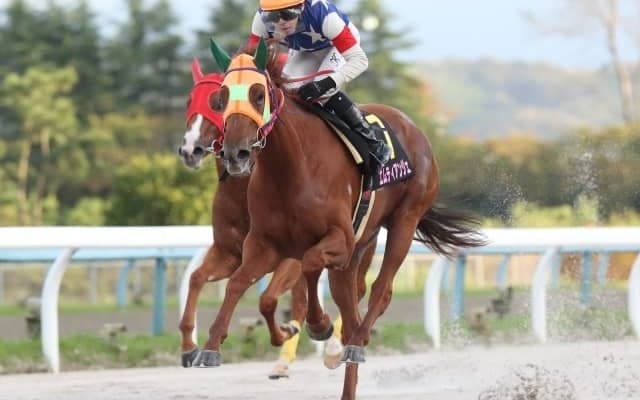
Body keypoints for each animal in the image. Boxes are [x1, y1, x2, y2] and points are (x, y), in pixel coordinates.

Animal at [177, 58, 376, 376]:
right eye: (189, 100)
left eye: (216, 103)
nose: (189, 149)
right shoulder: (231, 252)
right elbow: (197, 278)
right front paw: (189, 347)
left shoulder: (289, 257)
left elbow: (269, 297)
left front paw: (292, 332)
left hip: (359, 245)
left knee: (352, 288)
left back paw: (333, 346)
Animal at [199, 38, 486, 399]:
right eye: (221, 98)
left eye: (258, 94)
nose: (235, 153)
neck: (291, 168)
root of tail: (414, 128)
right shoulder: (265, 245)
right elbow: (240, 284)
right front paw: (211, 345)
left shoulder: (338, 239)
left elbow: (309, 265)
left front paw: (319, 326)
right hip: (361, 245)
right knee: (350, 304)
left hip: (404, 221)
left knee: (380, 291)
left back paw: (355, 344)